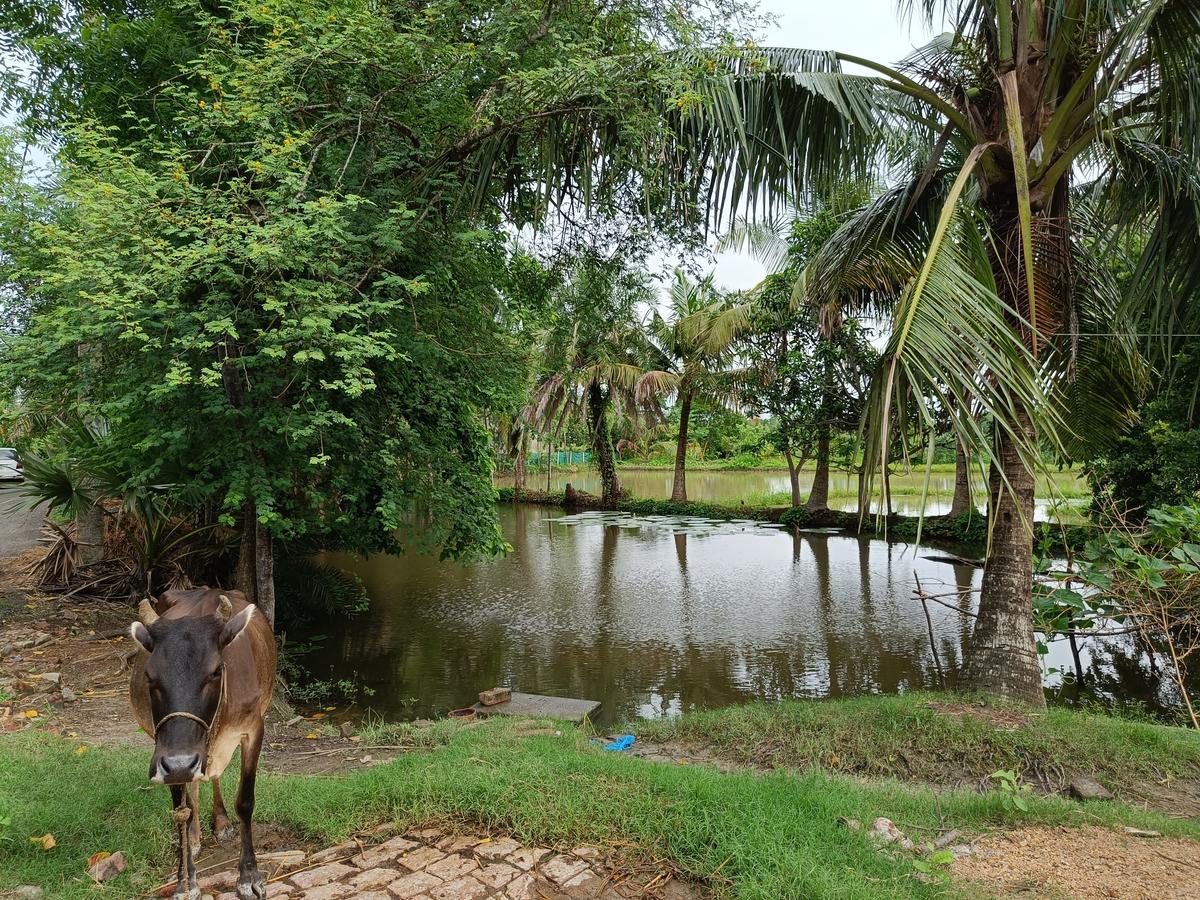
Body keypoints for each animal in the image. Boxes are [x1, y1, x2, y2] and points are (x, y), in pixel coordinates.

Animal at [128, 588, 276, 897]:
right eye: (149, 675)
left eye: (216, 671)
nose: (181, 764)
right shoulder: (166, 754)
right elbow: (181, 812)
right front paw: (185, 880)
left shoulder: (254, 729)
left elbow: (245, 801)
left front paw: (249, 877)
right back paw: (195, 838)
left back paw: (220, 823)